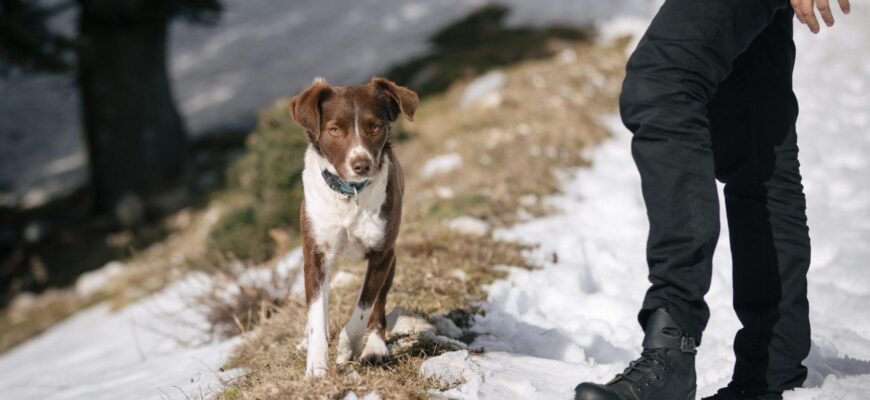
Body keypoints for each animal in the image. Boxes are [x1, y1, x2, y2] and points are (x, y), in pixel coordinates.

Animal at [290, 76, 418, 378]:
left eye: (375, 126)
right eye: (335, 129)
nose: (362, 165)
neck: (349, 195)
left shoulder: (382, 254)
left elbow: (364, 307)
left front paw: (347, 347)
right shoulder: (315, 255)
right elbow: (316, 315)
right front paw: (316, 368)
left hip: (391, 260)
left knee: (379, 306)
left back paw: (374, 347)